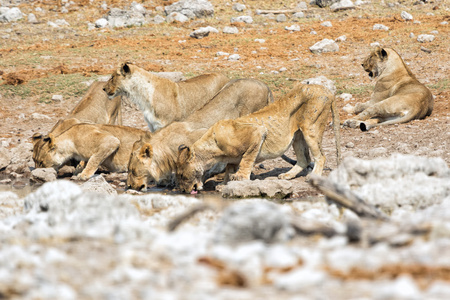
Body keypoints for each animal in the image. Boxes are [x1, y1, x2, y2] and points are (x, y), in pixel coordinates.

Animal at [176, 82, 342, 195]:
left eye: (182, 175)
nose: (184, 190)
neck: (213, 151)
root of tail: (327, 90)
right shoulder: (231, 158)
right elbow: (229, 169)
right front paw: (224, 184)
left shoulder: (258, 132)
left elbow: (247, 159)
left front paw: (241, 178)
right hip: (298, 136)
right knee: (304, 159)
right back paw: (287, 175)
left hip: (311, 127)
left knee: (321, 156)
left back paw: (313, 177)